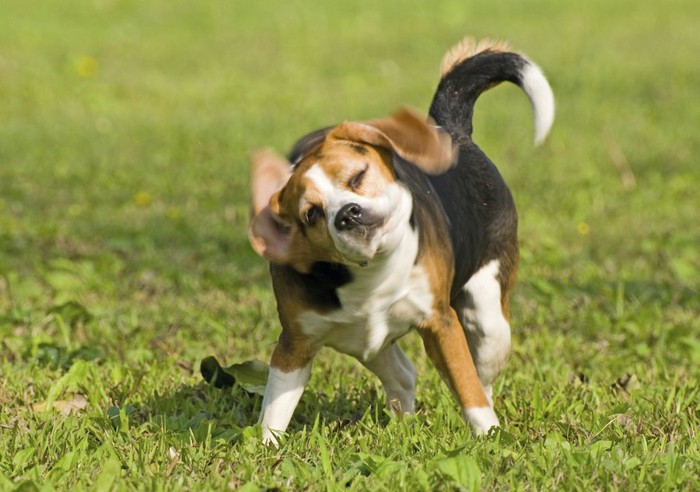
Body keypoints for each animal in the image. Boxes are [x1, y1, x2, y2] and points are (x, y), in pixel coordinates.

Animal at [249, 37, 556, 446]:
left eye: (358, 176)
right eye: (311, 214)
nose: (346, 214)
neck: (370, 274)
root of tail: (450, 128)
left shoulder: (441, 323)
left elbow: (468, 388)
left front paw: (489, 436)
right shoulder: (295, 345)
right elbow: (275, 410)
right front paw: (266, 449)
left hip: (489, 322)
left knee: (482, 379)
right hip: (367, 343)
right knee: (404, 374)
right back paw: (403, 427)